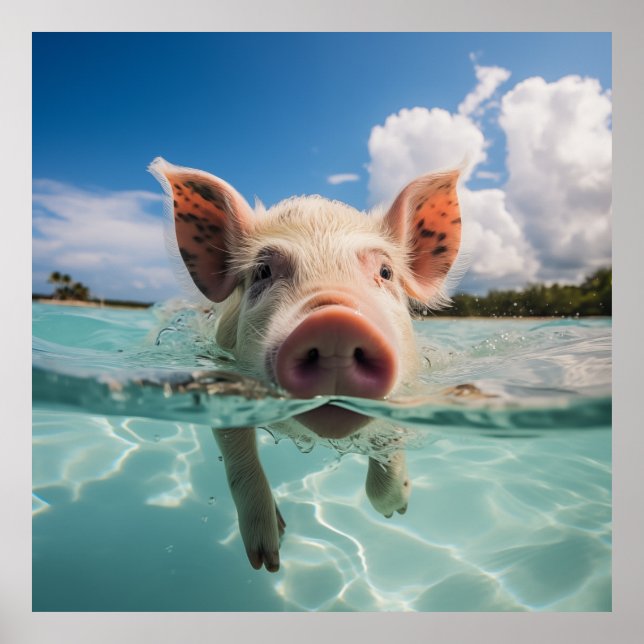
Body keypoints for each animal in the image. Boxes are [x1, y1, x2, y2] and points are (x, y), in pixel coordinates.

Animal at [149, 157, 462, 572]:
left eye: (385, 272)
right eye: (262, 272)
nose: (335, 323)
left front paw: (396, 510)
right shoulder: (220, 382)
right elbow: (238, 457)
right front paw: (267, 559)